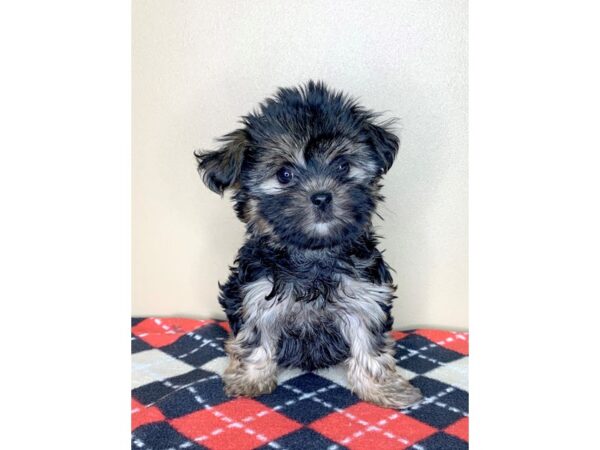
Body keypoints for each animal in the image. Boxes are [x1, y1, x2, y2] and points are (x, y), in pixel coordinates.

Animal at [196, 80, 422, 408]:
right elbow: (255, 338)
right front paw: (251, 379)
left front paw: (384, 388)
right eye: (284, 174)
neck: (312, 256)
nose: (321, 196)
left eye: (342, 166)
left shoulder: (365, 297)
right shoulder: (254, 295)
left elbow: (370, 345)